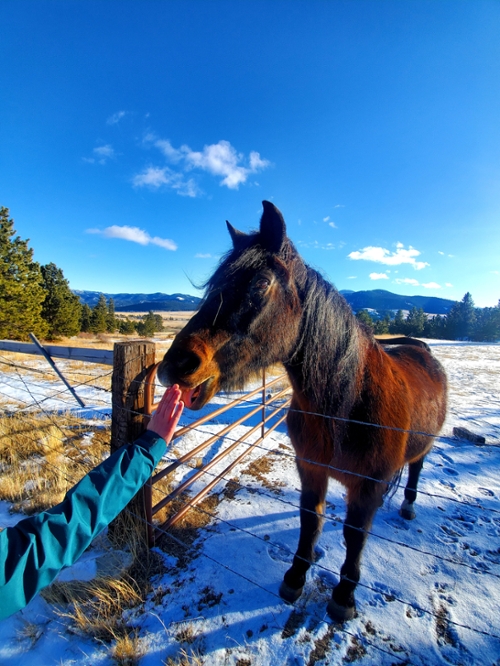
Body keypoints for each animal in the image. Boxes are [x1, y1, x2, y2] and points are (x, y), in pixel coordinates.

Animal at [157, 201, 448, 621]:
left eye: (260, 284)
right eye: (213, 286)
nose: (175, 365)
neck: (344, 407)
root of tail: (421, 348)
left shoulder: (367, 487)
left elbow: (354, 536)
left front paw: (344, 596)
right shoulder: (310, 468)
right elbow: (310, 519)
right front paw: (295, 576)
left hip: (421, 449)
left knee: (417, 467)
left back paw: (408, 506)